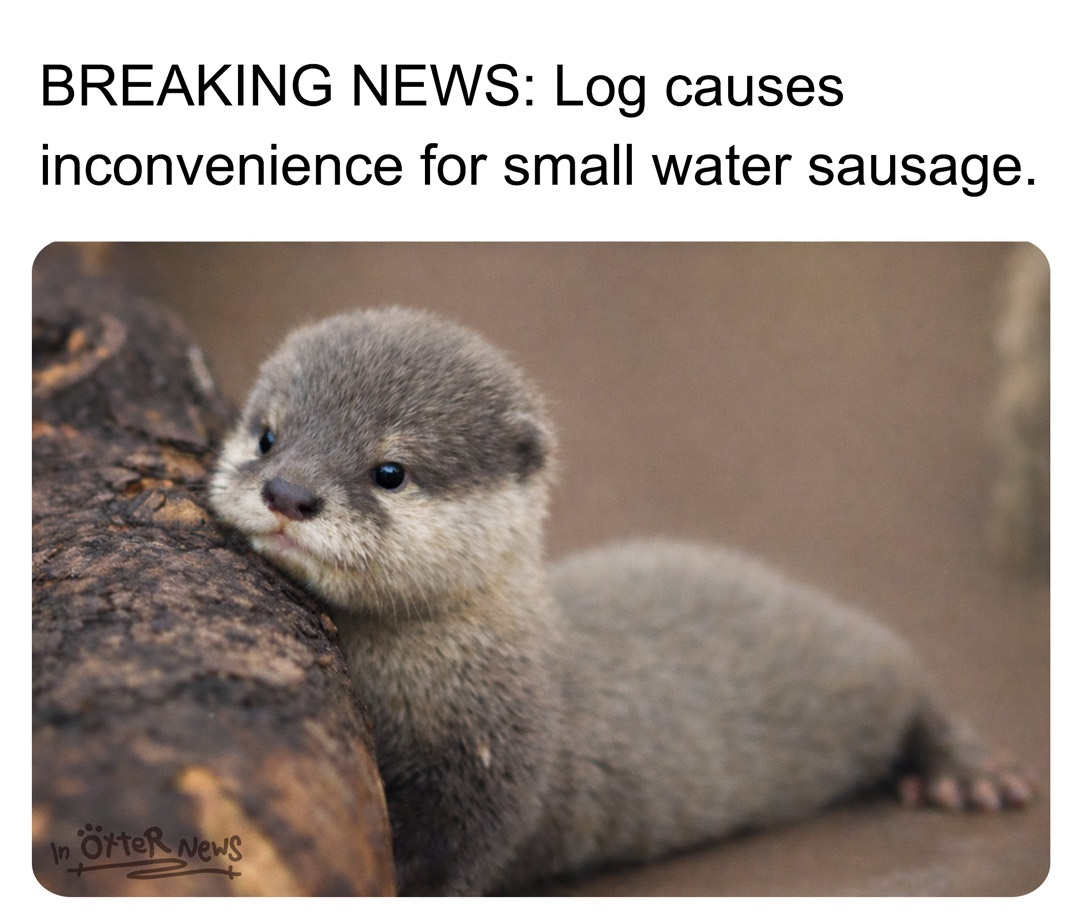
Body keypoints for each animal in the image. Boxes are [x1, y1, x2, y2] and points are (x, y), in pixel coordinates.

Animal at [210, 306, 1031, 896]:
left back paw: (968, 775)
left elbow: (453, 857)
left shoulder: (500, 769)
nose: (289, 492)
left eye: (390, 470)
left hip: (859, 662)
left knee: (913, 679)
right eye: (268, 435)